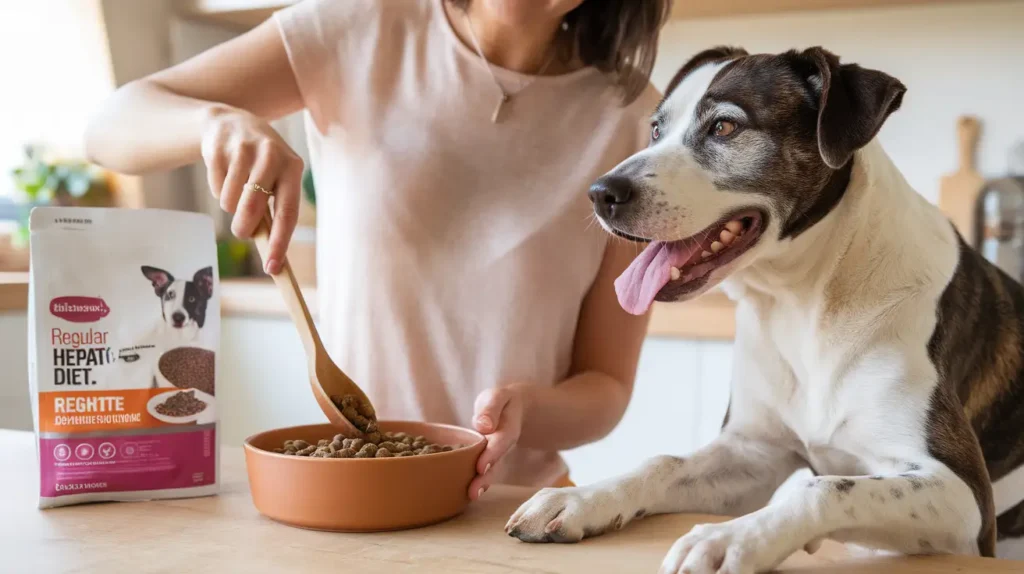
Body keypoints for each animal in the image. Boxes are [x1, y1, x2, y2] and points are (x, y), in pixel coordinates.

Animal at [503, 47, 1024, 568]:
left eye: (724, 127)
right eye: (655, 129)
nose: (600, 193)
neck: (805, 301)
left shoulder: (964, 499)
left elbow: (822, 488)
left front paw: (727, 541)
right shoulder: (753, 452)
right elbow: (663, 462)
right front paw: (579, 498)